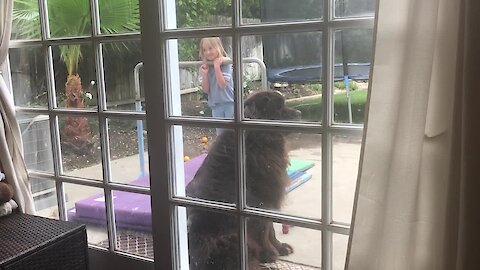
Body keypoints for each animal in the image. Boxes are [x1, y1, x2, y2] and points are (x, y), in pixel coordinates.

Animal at [187, 91, 300, 270]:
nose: (300, 113)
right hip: (229, 239)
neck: (257, 142)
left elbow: (271, 230)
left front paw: (280, 247)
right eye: (278, 107)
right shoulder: (260, 203)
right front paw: (270, 254)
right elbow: (264, 231)